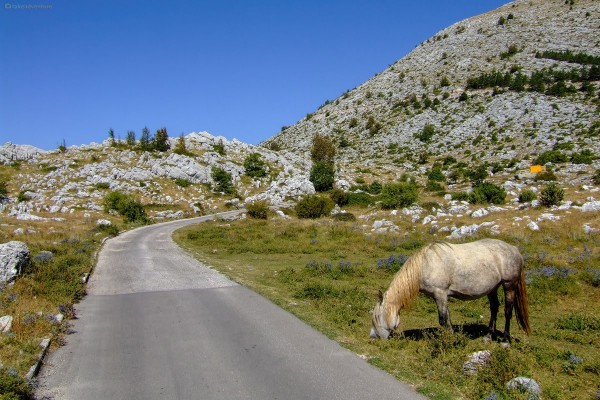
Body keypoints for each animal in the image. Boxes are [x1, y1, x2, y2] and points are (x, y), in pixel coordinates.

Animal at [370, 239, 528, 342]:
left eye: (377, 317)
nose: (373, 337)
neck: (424, 265)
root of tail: (514, 249)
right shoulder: (441, 296)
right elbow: (448, 318)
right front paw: (453, 337)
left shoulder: (440, 293)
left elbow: (443, 319)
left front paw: (449, 341)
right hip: (493, 288)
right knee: (494, 308)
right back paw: (488, 337)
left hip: (509, 285)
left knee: (508, 311)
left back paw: (505, 340)